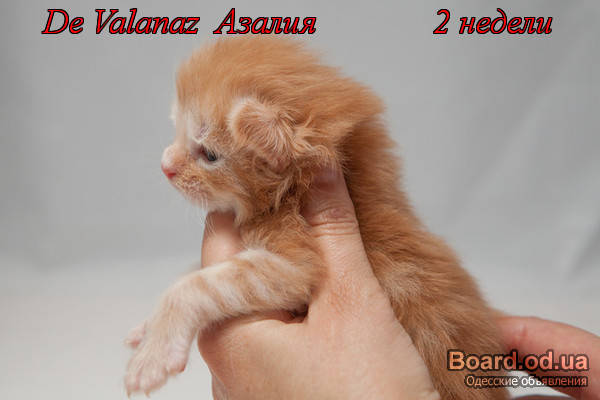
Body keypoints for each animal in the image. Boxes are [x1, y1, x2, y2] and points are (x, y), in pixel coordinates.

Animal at [125, 36, 508, 399]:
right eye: (176, 132)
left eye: (209, 155)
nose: (165, 166)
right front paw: (147, 328)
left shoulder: (293, 263)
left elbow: (197, 285)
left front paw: (153, 356)